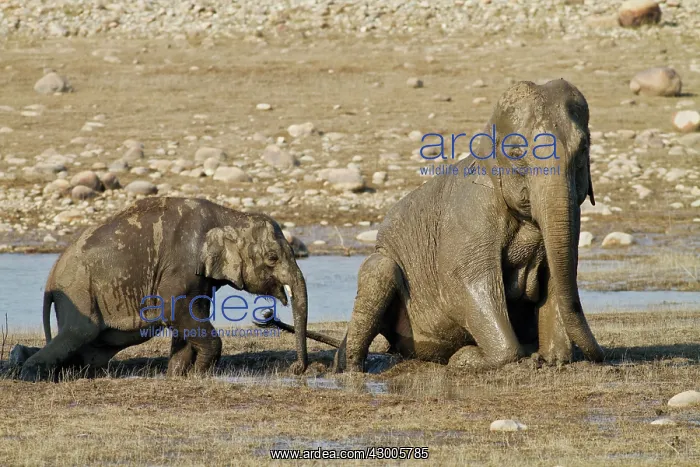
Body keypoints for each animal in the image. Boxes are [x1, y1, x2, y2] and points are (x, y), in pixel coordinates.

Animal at [19, 197, 308, 381]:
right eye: (272, 258)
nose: (295, 369)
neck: (228, 214)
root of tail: (52, 275)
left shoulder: (199, 275)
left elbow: (191, 315)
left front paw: (176, 375)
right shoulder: (181, 264)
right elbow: (173, 310)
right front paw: (200, 374)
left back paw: (22, 358)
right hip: (79, 292)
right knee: (78, 334)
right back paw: (28, 373)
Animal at [264, 79, 605, 373]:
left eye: (583, 148)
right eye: (517, 152)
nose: (601, 356)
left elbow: (556, 278)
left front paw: (552, 358)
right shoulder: (470, 217)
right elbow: (465, 284)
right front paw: (466, 359)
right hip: (383, 266)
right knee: (379, 271)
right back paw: (350, 370)